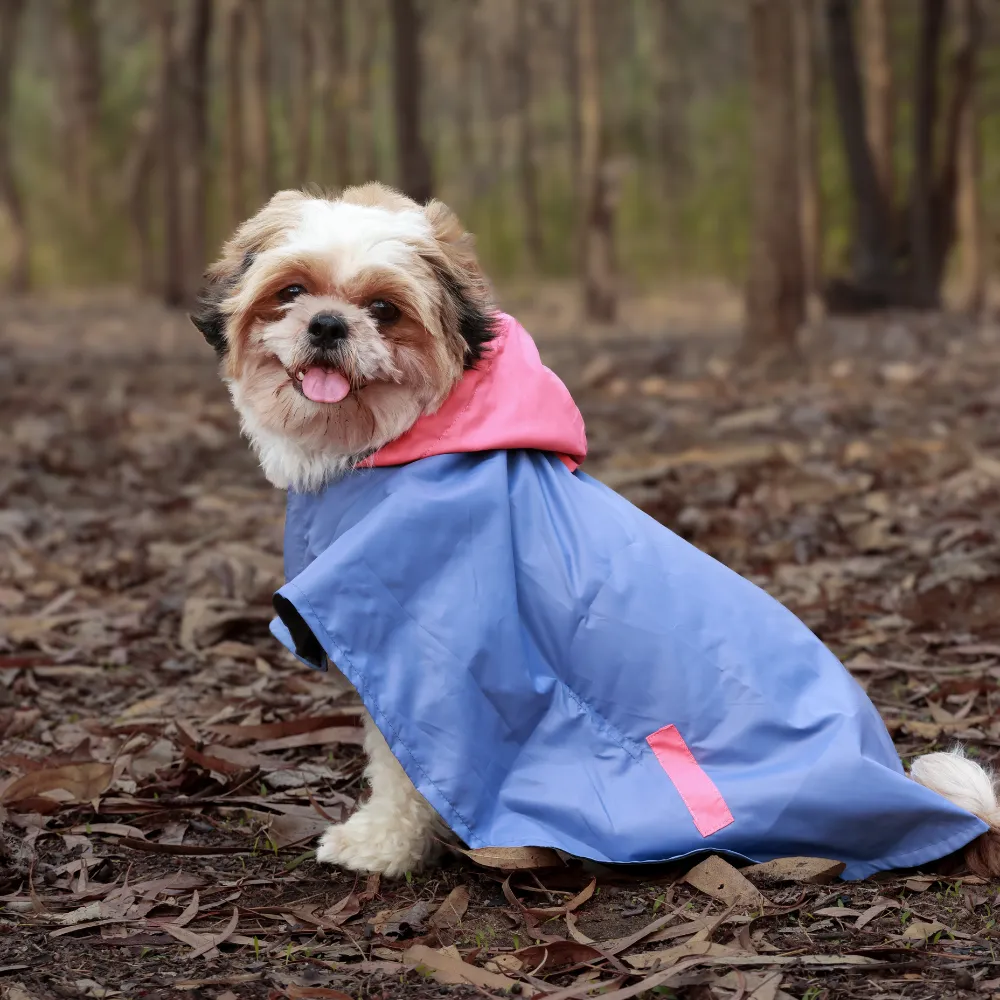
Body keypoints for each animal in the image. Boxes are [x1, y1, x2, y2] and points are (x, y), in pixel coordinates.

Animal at [193, 184, 1000, 880]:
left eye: (384, 309)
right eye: (290, 291)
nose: (328, 324)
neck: (409, 439)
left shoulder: (421, 650)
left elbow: (402, 769)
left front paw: (381, 847)